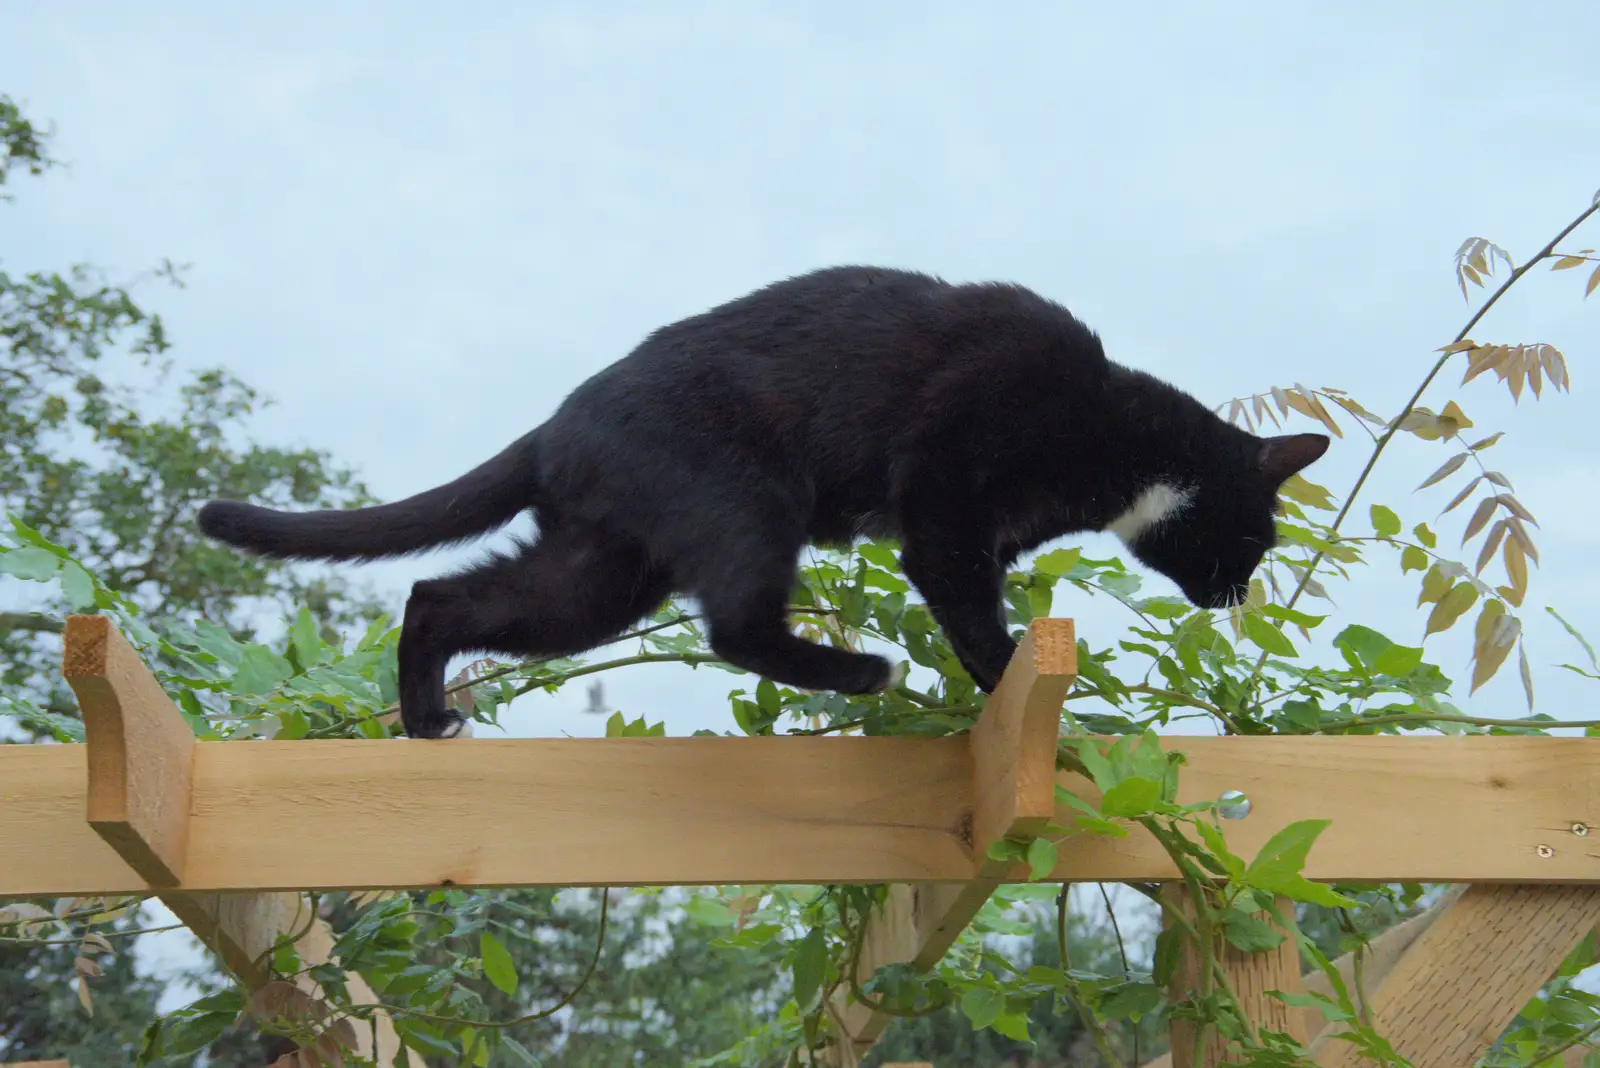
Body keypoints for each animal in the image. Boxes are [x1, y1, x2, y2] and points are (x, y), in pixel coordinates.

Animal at [196, 267, 1324, 738]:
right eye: (1258, 538)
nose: (1236, 597)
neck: (1109, 436)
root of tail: (557, 422)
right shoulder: (945, 500)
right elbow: (968, 612)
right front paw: (1019, 686)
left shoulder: (983, 534)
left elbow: (973, 605)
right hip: (750, 500)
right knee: (736, 625)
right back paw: (863, 671)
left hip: (603, 573)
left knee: (440, 595)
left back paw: (428, 721)